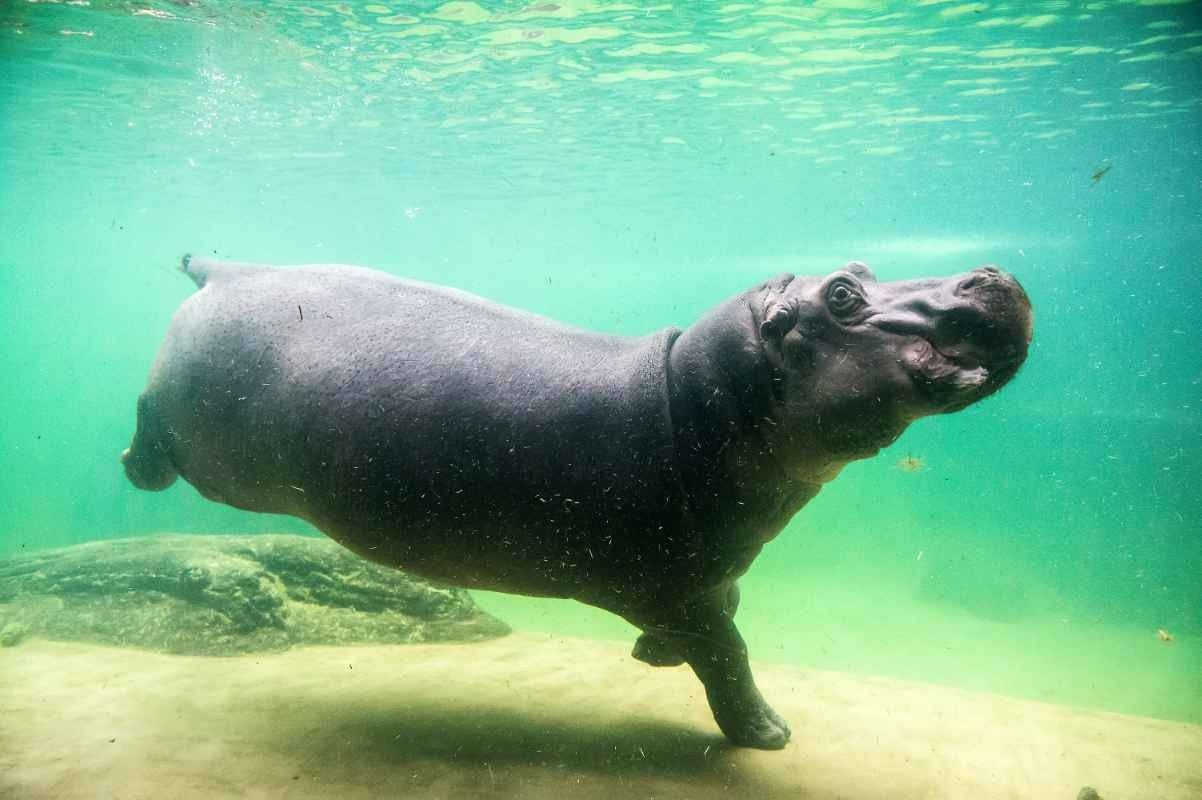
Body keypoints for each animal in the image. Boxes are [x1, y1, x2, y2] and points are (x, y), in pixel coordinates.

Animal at [123, 255, 1032, 749]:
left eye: (865, 272)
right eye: (842, 295)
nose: (990, 274)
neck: (700, 397)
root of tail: (229, 269)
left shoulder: (709, 576)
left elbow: (728, 613)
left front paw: (652, 659)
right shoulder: (676, 587)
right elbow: (729, 655)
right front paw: (769, 734)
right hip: (214, 452)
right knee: (150, 423)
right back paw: (137, 472)